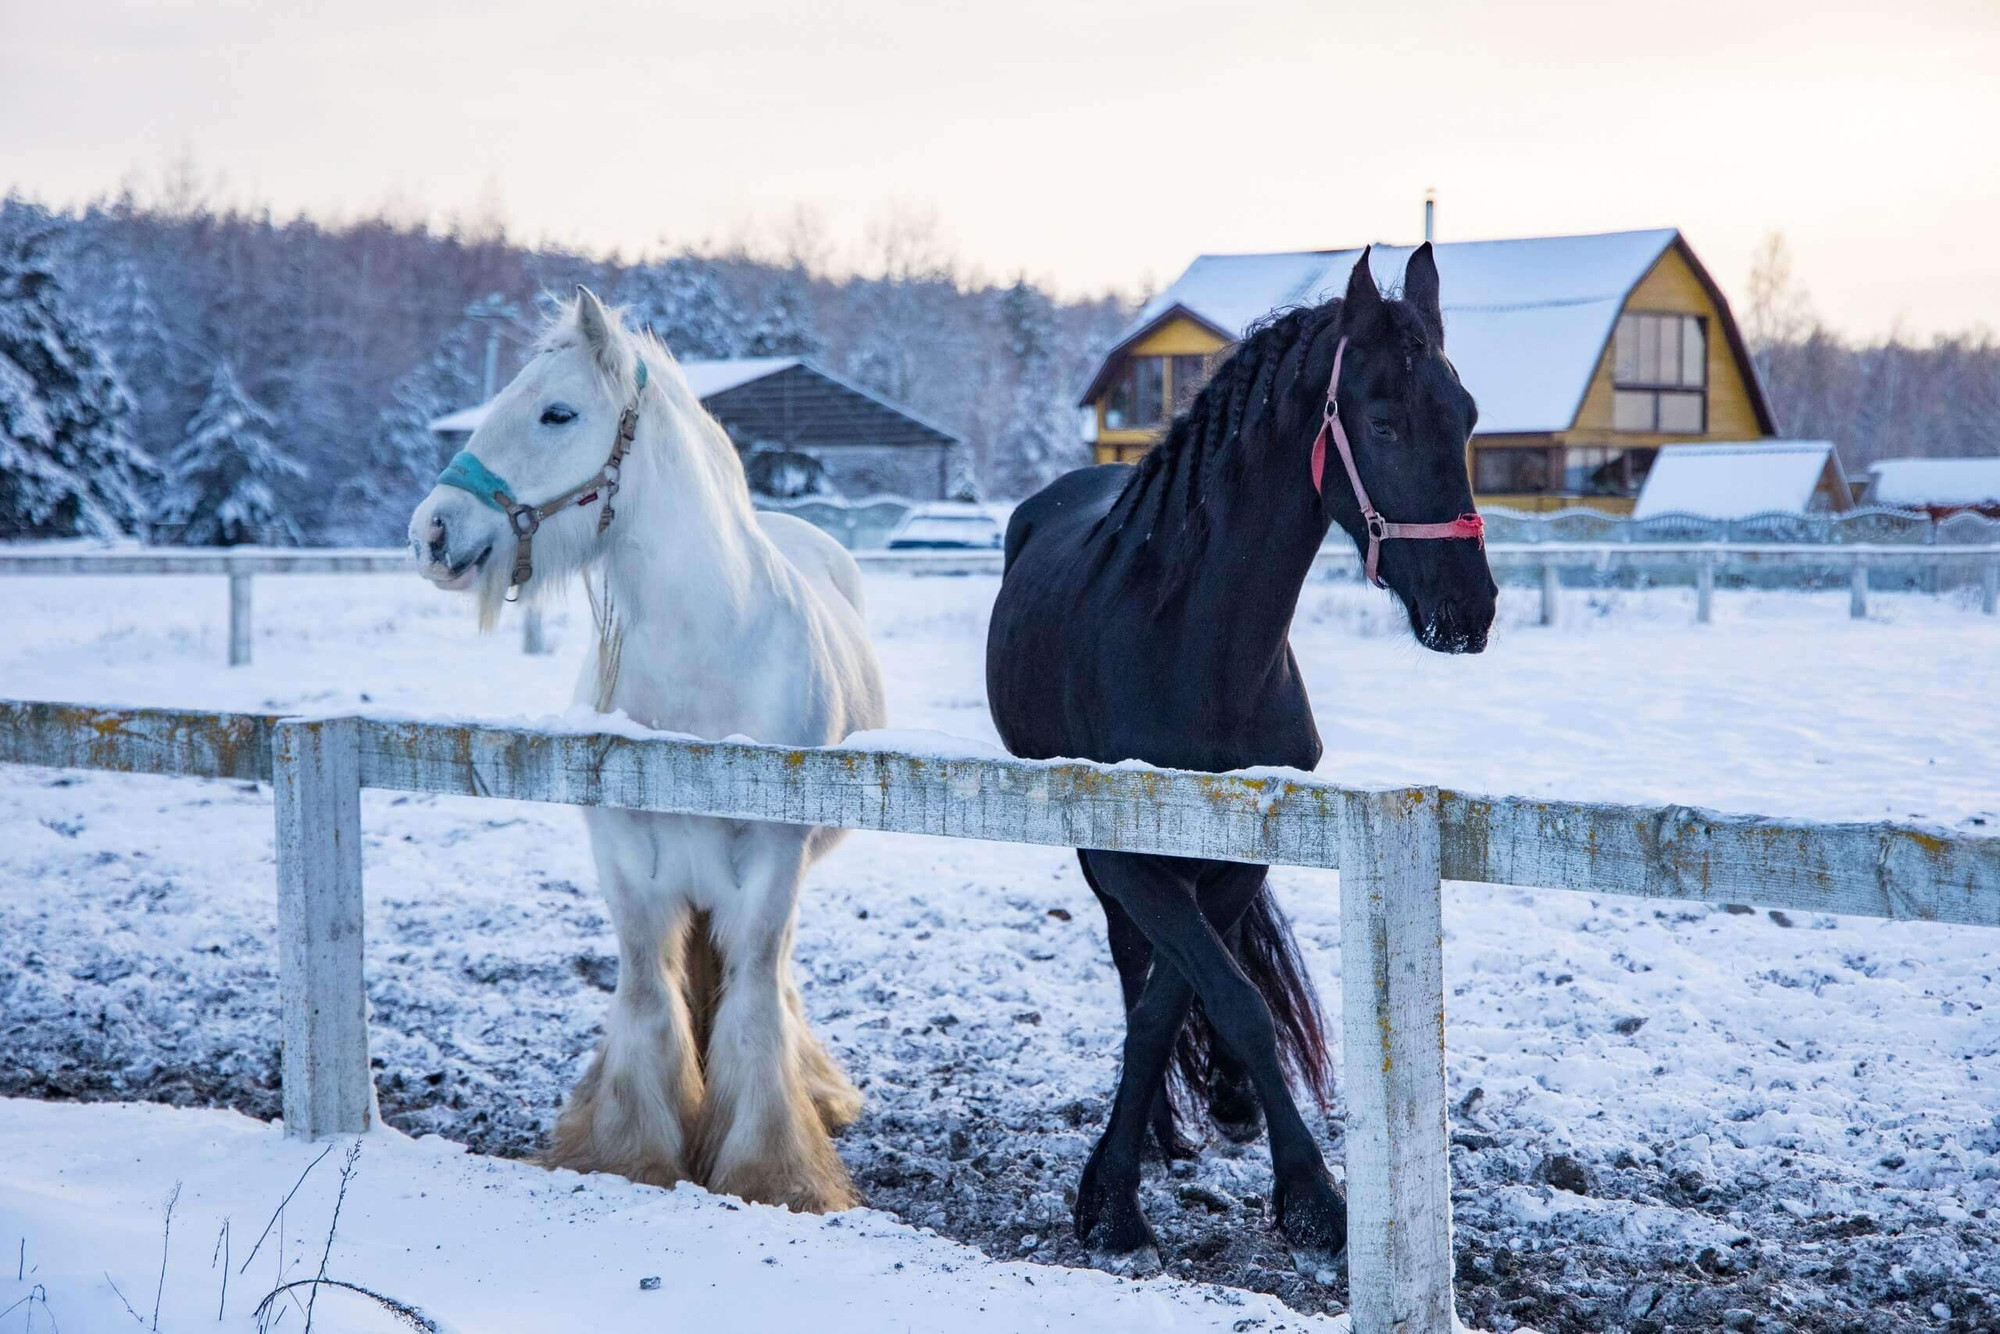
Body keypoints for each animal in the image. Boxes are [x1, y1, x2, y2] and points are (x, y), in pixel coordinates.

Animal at [410, 290, 888, 1208]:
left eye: (557, 412)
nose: (432, 532)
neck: (704, 659)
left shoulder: (769, 862)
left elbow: (753, 1002)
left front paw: (772, 1169)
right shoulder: (626, 854)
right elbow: (643, 991)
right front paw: (626, 1149)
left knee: (772, 979)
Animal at [992, 248, 1496, 1272]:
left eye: (1466, 417)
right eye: (1384, 421)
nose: (1471, 612)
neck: (1194, 645)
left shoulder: (1239, 856)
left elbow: (1194, 997)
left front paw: (1250, 1159)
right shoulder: (1126, 856)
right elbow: (1214, 995)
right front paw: (1133, 1202)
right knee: (1128, 957)